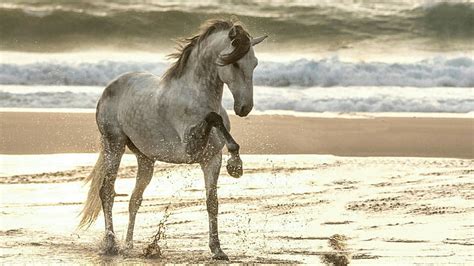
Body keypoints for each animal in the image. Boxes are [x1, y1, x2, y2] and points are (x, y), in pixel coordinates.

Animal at [79, 18, 268, 260]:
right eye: (234, 64)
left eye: (254, 64)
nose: (244, 108)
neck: (196, 96)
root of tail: (109, 88)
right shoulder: (190, 148)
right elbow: (213, 118)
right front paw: (236, 165)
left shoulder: (211, 160)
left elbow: (212, 202)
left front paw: (217, 250)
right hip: (115, 145)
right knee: (107, 192)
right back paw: (111, 244)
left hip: (145, 158)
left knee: (134, 199)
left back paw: (129, 245)